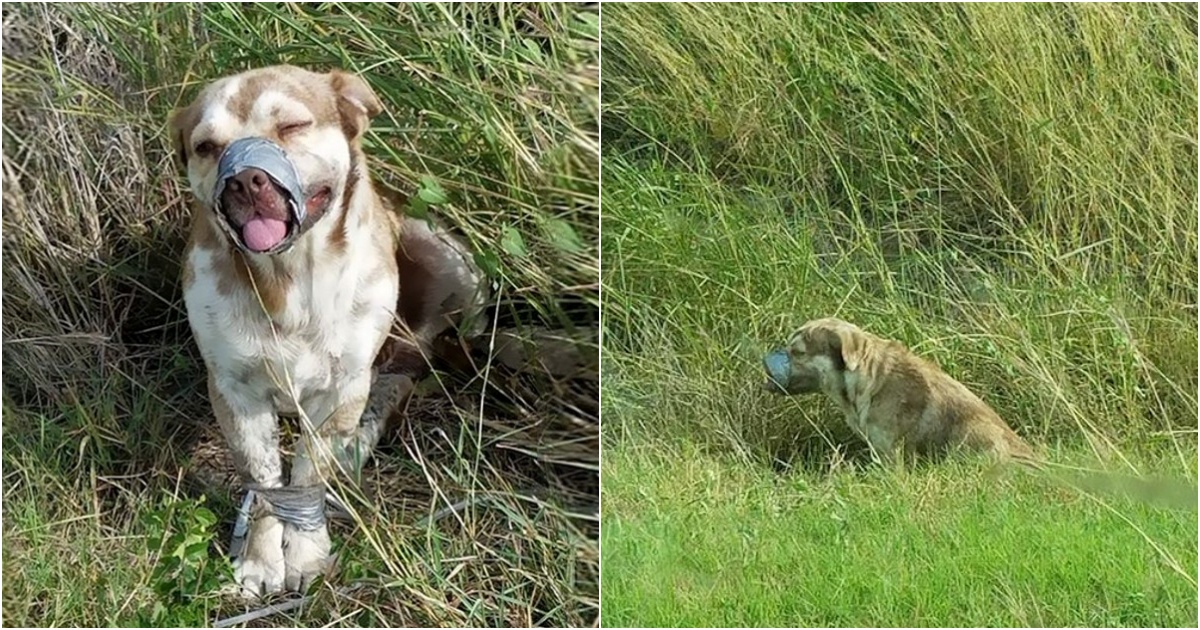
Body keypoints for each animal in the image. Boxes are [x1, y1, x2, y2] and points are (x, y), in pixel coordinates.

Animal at [170, 66, 487, 597]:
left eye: (293, 126)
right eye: (207, 146)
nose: (245, 179)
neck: (290, 281)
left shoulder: (341, 388)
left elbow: (306, 474)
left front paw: (306, 554)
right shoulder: (235, 391)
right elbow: (266, 481)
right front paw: (260, 560)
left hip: (450, 262)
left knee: (405, 372)